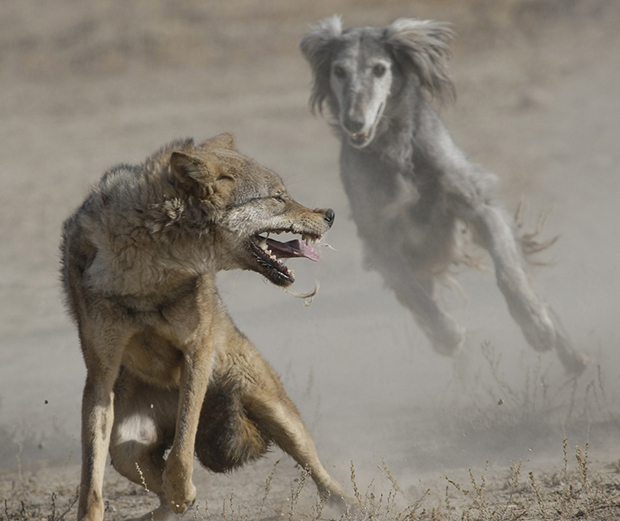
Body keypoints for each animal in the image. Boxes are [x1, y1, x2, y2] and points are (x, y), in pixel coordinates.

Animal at [61, 133, 354, 520]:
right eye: (278, 197)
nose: (330, 214)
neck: (148, 277)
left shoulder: (197, 349)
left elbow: (182, 452)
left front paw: (182, 487)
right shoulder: (100, 375)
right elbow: (91, 483)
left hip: (276, 411)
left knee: (318, 474)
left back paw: (354, 504)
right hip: (126, 448)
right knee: (161, 495)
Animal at [302, 15, 588, 374]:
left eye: (380, 69)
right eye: (339, 71)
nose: (353, 121)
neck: (394, 148)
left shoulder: (479, 205)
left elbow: (508, 272)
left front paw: (534, 323)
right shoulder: (379, 241)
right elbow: (419, 299)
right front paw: (448, 337)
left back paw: (569, 351)